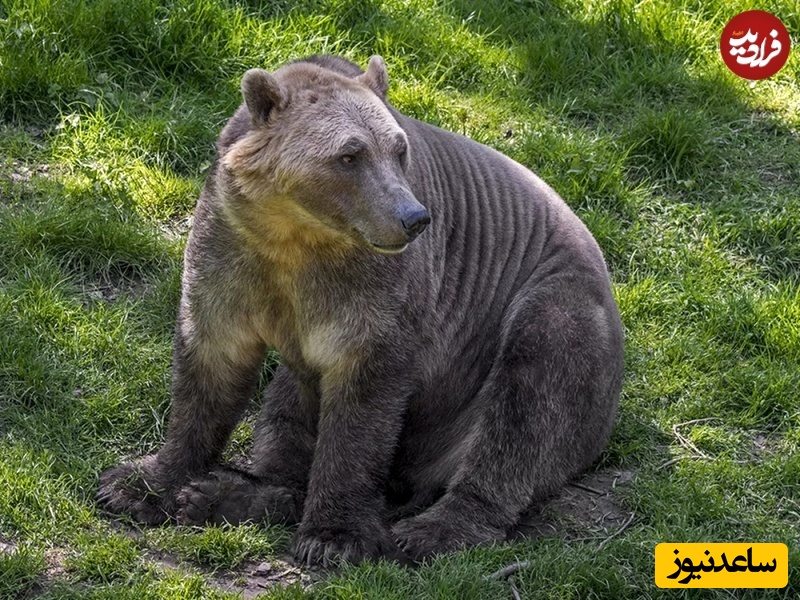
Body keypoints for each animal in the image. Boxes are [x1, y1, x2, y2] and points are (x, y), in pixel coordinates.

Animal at [96, 54, 624, 567]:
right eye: (350, 155)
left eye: (398, 149)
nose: (413, 218)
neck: (295, 235)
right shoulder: (232, 250)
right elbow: (211, 360)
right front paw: (137, 484)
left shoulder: (377, 293)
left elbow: (363, 401)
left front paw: (335, 536)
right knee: (286, 409)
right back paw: (223, 495)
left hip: (549, 307)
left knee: (528, 401)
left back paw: (433, 530)